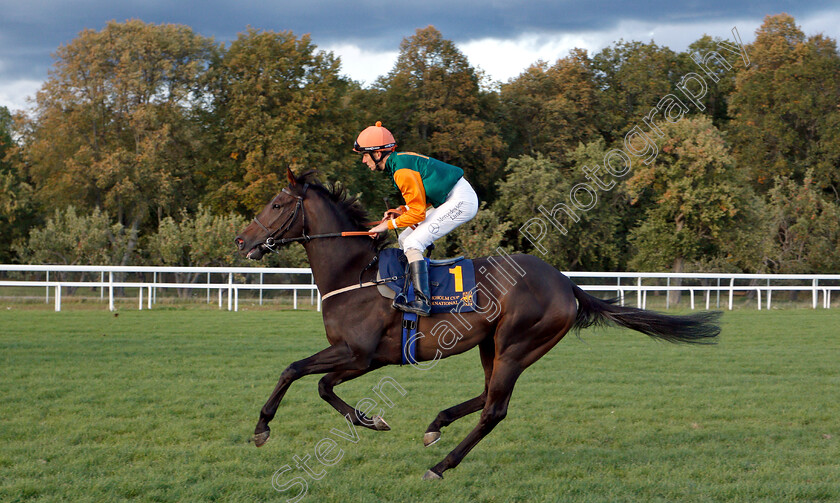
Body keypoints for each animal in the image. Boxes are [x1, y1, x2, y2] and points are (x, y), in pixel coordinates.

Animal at [233, 168, 720, 480]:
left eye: (277, 203)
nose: (242, 240)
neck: (356, 273)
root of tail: (565, 283)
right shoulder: (360, 358)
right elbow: (316, 382)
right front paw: (370, 421)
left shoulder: (359, 354)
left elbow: (297, 371)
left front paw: (263, 429)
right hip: (493, 345)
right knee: (487, 395)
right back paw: (436, 424)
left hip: (518, 344)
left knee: (495, 409)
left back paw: (440, 466)